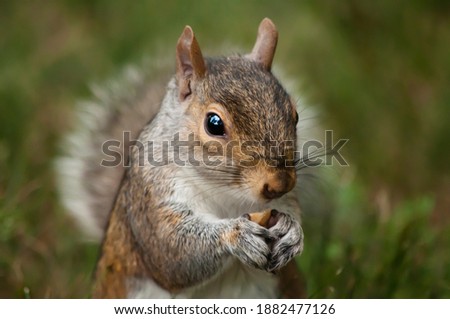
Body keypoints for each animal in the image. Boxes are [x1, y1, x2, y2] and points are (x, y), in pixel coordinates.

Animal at [56, 18, 312, 300]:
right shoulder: (151, 199)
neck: (228, 192)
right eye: (214, 124)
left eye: (295, 115)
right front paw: (236, 234)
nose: (280, 183)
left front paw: (292, 231)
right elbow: (174, 254)